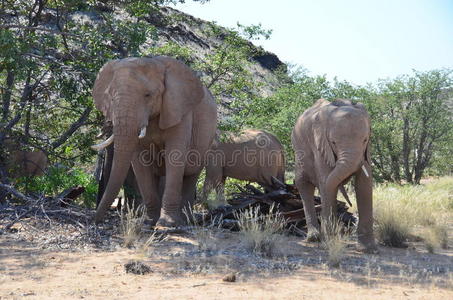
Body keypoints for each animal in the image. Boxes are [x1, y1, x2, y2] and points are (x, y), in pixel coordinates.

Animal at [91, 56, 216, 226]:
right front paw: (148, 222)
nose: (95, 220)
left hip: (207, 139)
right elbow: (139, 163)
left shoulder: (178, 110)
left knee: (191, 175)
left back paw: (187, 221)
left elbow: (175, 156)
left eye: (148, 95)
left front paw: (167, 225)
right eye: (110, 96)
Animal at [292, 98, 376, 251]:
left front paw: (368, 249)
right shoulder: (320, 145)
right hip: (298, 152)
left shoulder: (367, 151)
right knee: (304, 185)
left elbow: (364, 184)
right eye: (333, 142)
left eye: (365, 140)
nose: (349, 205)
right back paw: (314, 238)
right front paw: (329, 243)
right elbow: (326, 180)